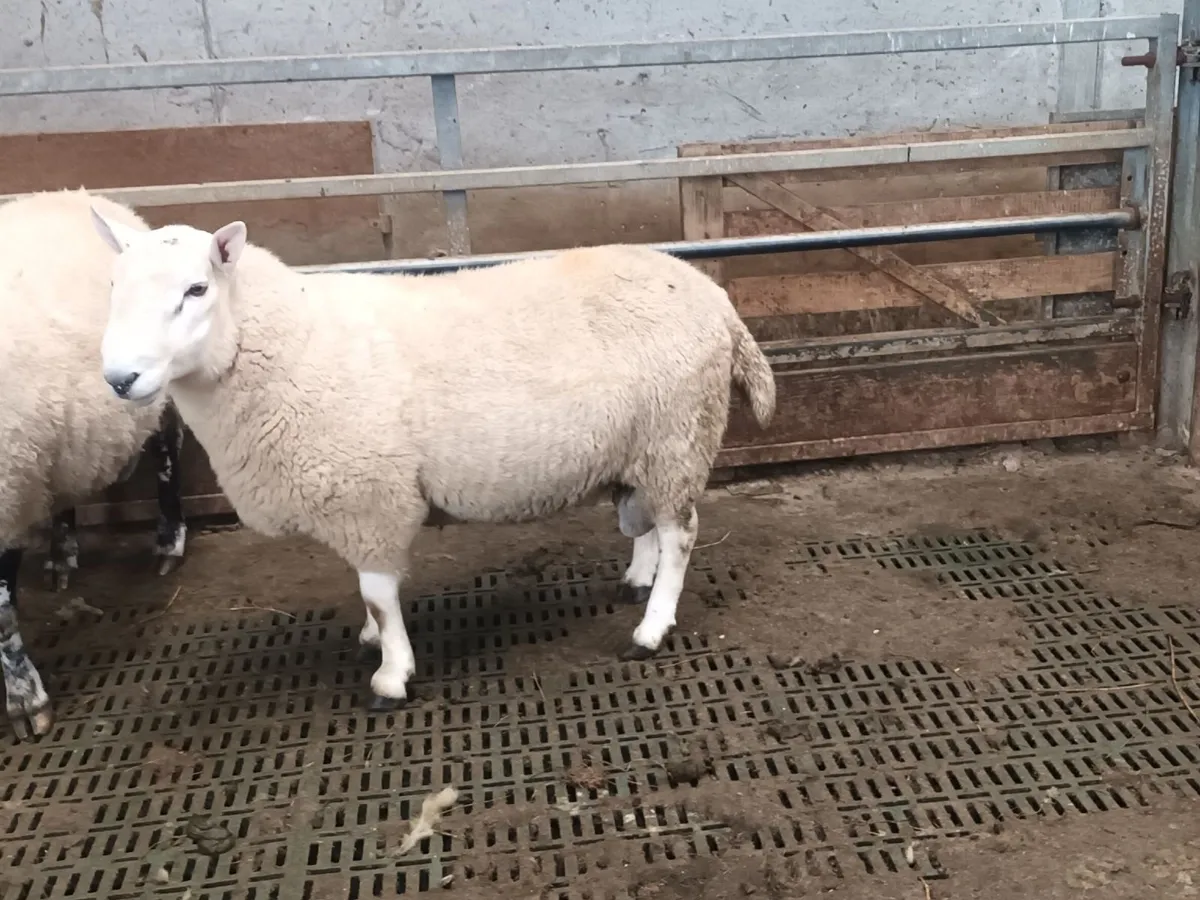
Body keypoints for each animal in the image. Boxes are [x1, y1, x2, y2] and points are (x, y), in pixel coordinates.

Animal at [0, 189, 189, 740]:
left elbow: (1, 614)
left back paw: (169, 540)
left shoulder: (8, 495)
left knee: (167, 447)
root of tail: (73, 194)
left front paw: (26, 702)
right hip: (52, 444)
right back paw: (62, 552)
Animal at [91, 212, 776, 711]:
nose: (120, 379)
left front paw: (391, 673)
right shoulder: (358, 499)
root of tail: (713, 296)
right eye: (112, 288)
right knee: (647, 521)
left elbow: (376, 593)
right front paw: (377, 643)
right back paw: (638, 579)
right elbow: (371, 595)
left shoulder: (369, 496)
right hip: (642, 445)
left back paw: (652, 627)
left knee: (680, 532)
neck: (290, 342)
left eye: (197, 289)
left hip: (678, 433)